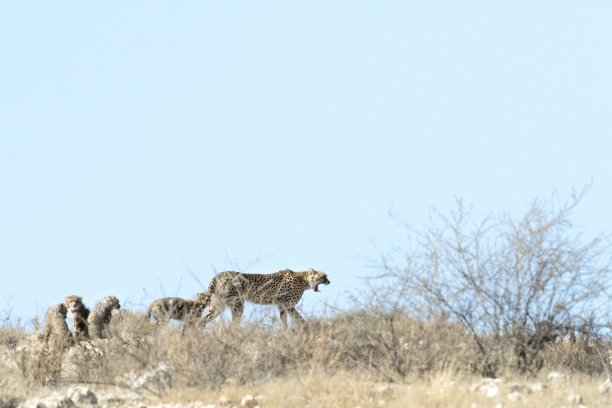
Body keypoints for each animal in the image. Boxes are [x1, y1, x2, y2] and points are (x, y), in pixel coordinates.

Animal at [201, 268, 330, 328]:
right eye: (323, 276)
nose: (329, 282)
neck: (303, 280)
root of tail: (219, 275)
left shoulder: (281, 306)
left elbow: (284, 321)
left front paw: (285, 333)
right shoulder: (288, 305)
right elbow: (299, 318)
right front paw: (307, 327)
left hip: (217, 306)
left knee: (202, 320)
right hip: (238, 303)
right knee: (232, 324)